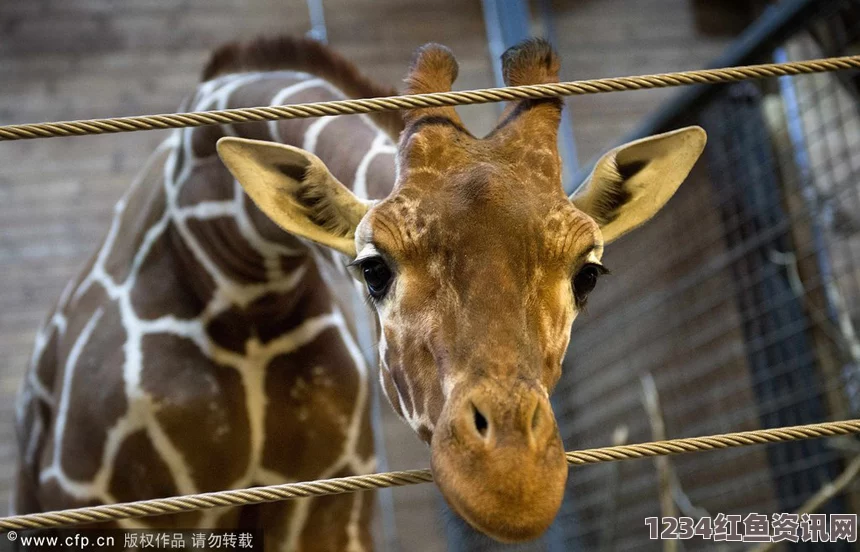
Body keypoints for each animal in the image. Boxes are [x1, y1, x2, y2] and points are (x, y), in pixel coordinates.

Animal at [13, 34, 708, 548]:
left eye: (587, 273)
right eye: (374, 268)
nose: (511, 482)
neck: (239, 280)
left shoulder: (326, 505)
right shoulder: (115, 509)